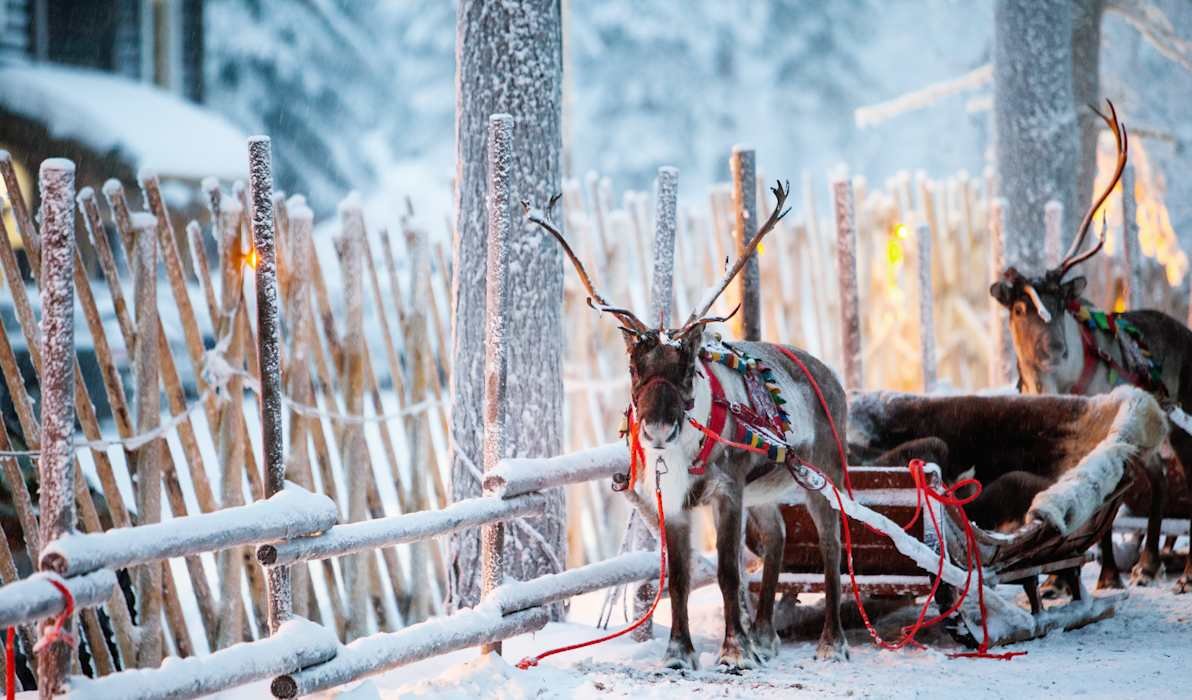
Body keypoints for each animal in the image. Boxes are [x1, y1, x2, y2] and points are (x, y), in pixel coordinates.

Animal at [524, 181, 851, 671]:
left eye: (687, 367)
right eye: (634, 367)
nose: (658, 429)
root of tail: (831, 376)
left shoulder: (727, 490)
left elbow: (729, 572)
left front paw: (734, 651)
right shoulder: (673, 503)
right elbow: (678, 577)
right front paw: (679, 652)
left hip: (821, 473)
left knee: (831, 544)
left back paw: (831, 641)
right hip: (763, 488)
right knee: (778, 535)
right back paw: (765, 636)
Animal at [989, 99, 1192, 595]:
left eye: (1062, 303)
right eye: (1020, 306)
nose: (1055, 350)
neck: (1055, 385)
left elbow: (1102, 506)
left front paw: (1103, 575)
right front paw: (1058, 579)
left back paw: (1177, 572)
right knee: (1159, 476)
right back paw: (1148, 562)